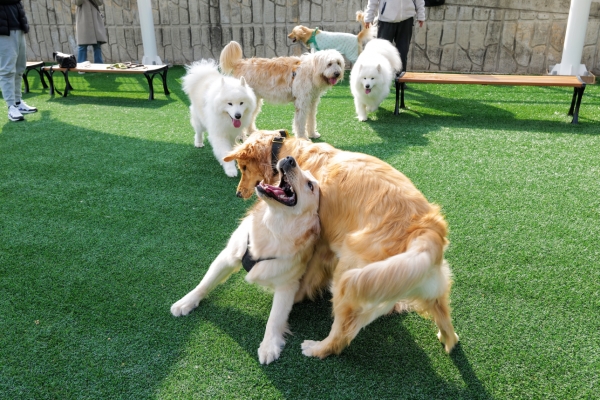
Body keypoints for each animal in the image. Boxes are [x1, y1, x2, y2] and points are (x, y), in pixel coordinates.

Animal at [171, 156, 322, 366]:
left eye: (310, 185)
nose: (289, 159)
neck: (273, 226)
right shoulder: (229, 256)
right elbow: (205, 283)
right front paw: (186, 301)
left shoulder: (288, 284)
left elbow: (275, 318)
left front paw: (268, 345)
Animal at [223, 130, 462, 360]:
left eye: (243, 167)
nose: (237, 193)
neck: (284, 150)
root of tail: (425, 228)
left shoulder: (320, 243)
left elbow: (307, 276)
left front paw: (296, 295)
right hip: (425, 285)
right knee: (445, 319)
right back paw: (447, 339)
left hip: (349, 280)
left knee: (341, 336)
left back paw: (316, 348)